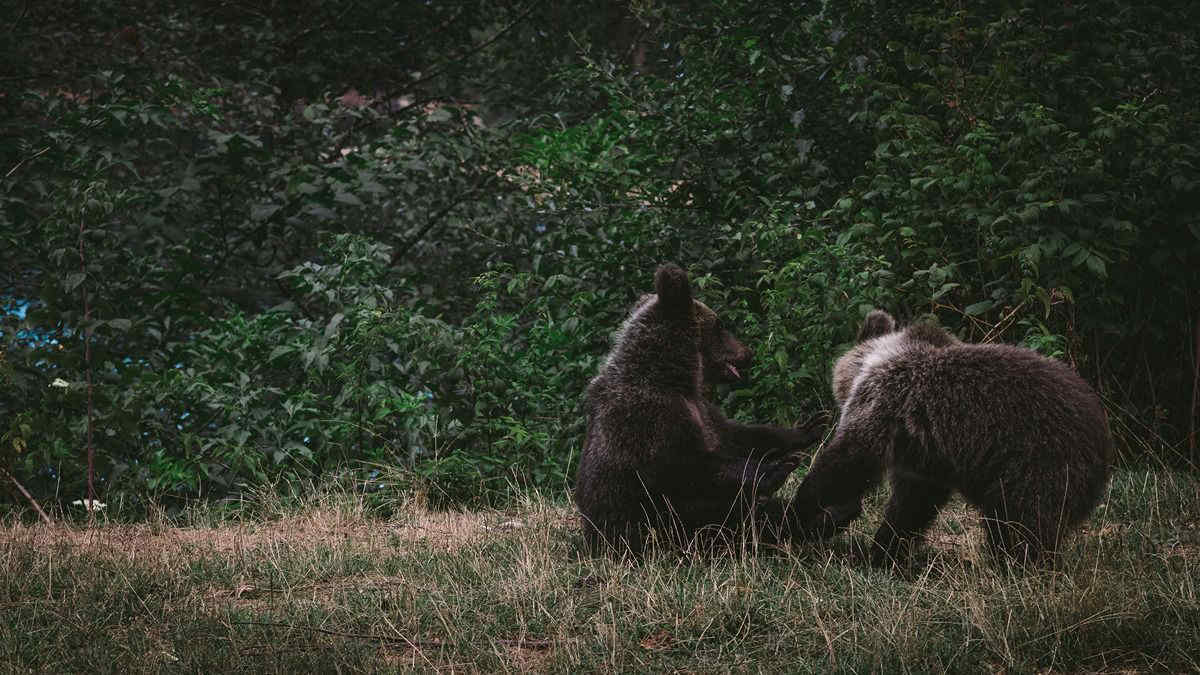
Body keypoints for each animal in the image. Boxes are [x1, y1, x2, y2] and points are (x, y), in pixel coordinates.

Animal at [573, 260, 825, 554]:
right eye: (720, 324)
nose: (748, 353)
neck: (674, 378)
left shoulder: (703, 411)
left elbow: (741, 435)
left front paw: (810, 427)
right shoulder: (646, 420)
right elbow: (685, 471)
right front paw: (776, 468)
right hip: (659, 534)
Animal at [787, 309, 1113, 562]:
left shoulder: (887, 400)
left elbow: (848, 461)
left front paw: (799, 510)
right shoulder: (924, 456)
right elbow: (912, 503)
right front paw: (884, 549)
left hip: (1037, 457)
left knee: (1022, 518)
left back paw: (1017, 562)